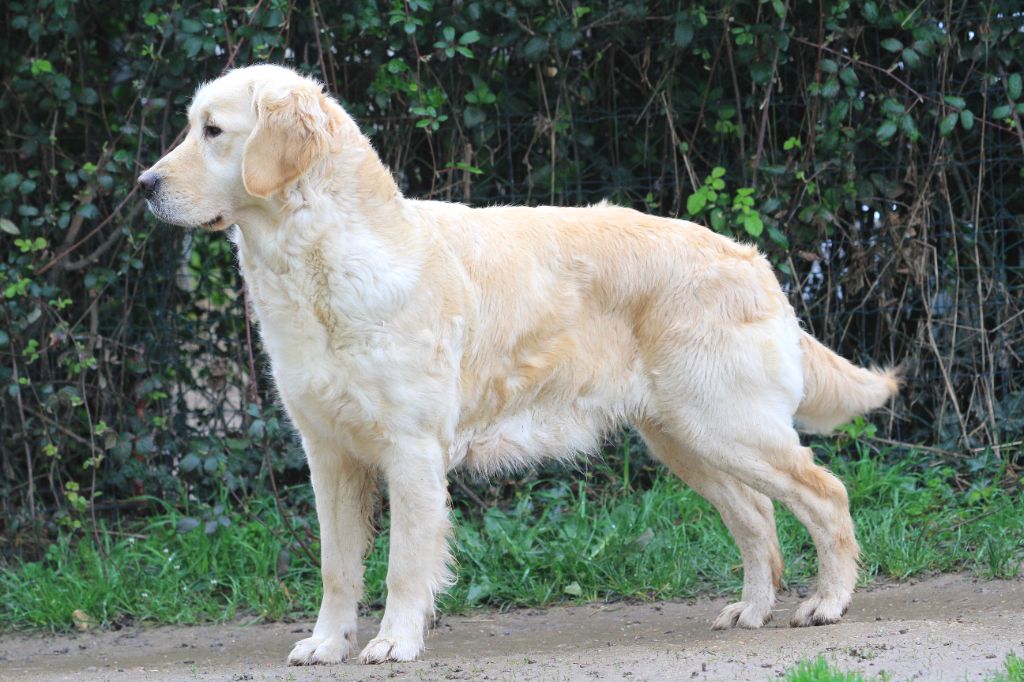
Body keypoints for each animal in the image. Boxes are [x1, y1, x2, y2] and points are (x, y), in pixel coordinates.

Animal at [142, 65, 897, 663]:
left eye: (213, 130)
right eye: (189, 127)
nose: (144, 183)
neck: (322, 259)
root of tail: (754, 259)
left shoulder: (410, 450)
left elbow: (403, 565)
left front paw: (394, 642)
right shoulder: (328, 454)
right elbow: (337, 569)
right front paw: (327, 644)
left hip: (727, 425)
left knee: (825, 493)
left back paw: (828, 603)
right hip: (686, 437)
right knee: (758, 517)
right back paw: (753, 609)